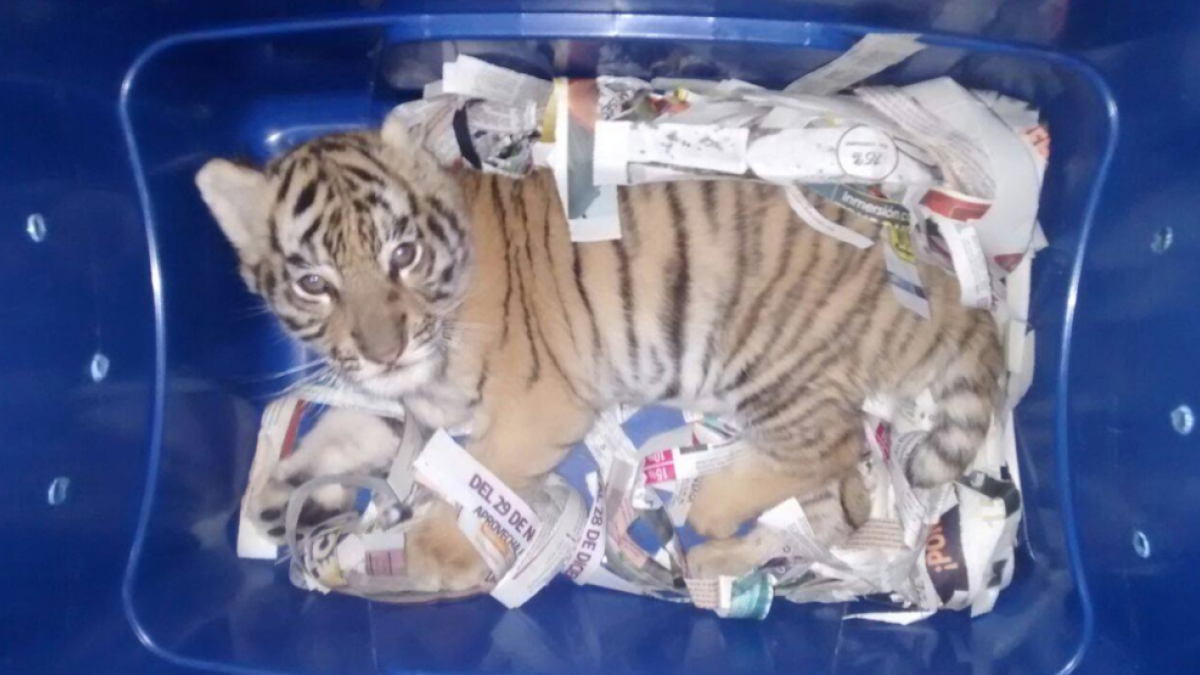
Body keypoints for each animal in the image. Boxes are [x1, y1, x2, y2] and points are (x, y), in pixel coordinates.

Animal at [196, 114, 1003, 592]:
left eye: (403, 253)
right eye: (313, 283)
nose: (385, 350)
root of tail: (945, 284)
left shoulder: (534, 405)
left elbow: (478, 483)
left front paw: (421, 553)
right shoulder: (413, 407)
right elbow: (339, 435)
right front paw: (278, 500)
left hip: (770, 359)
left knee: (830, 444)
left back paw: (711, 508)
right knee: (837, 510)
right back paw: (719, 562)